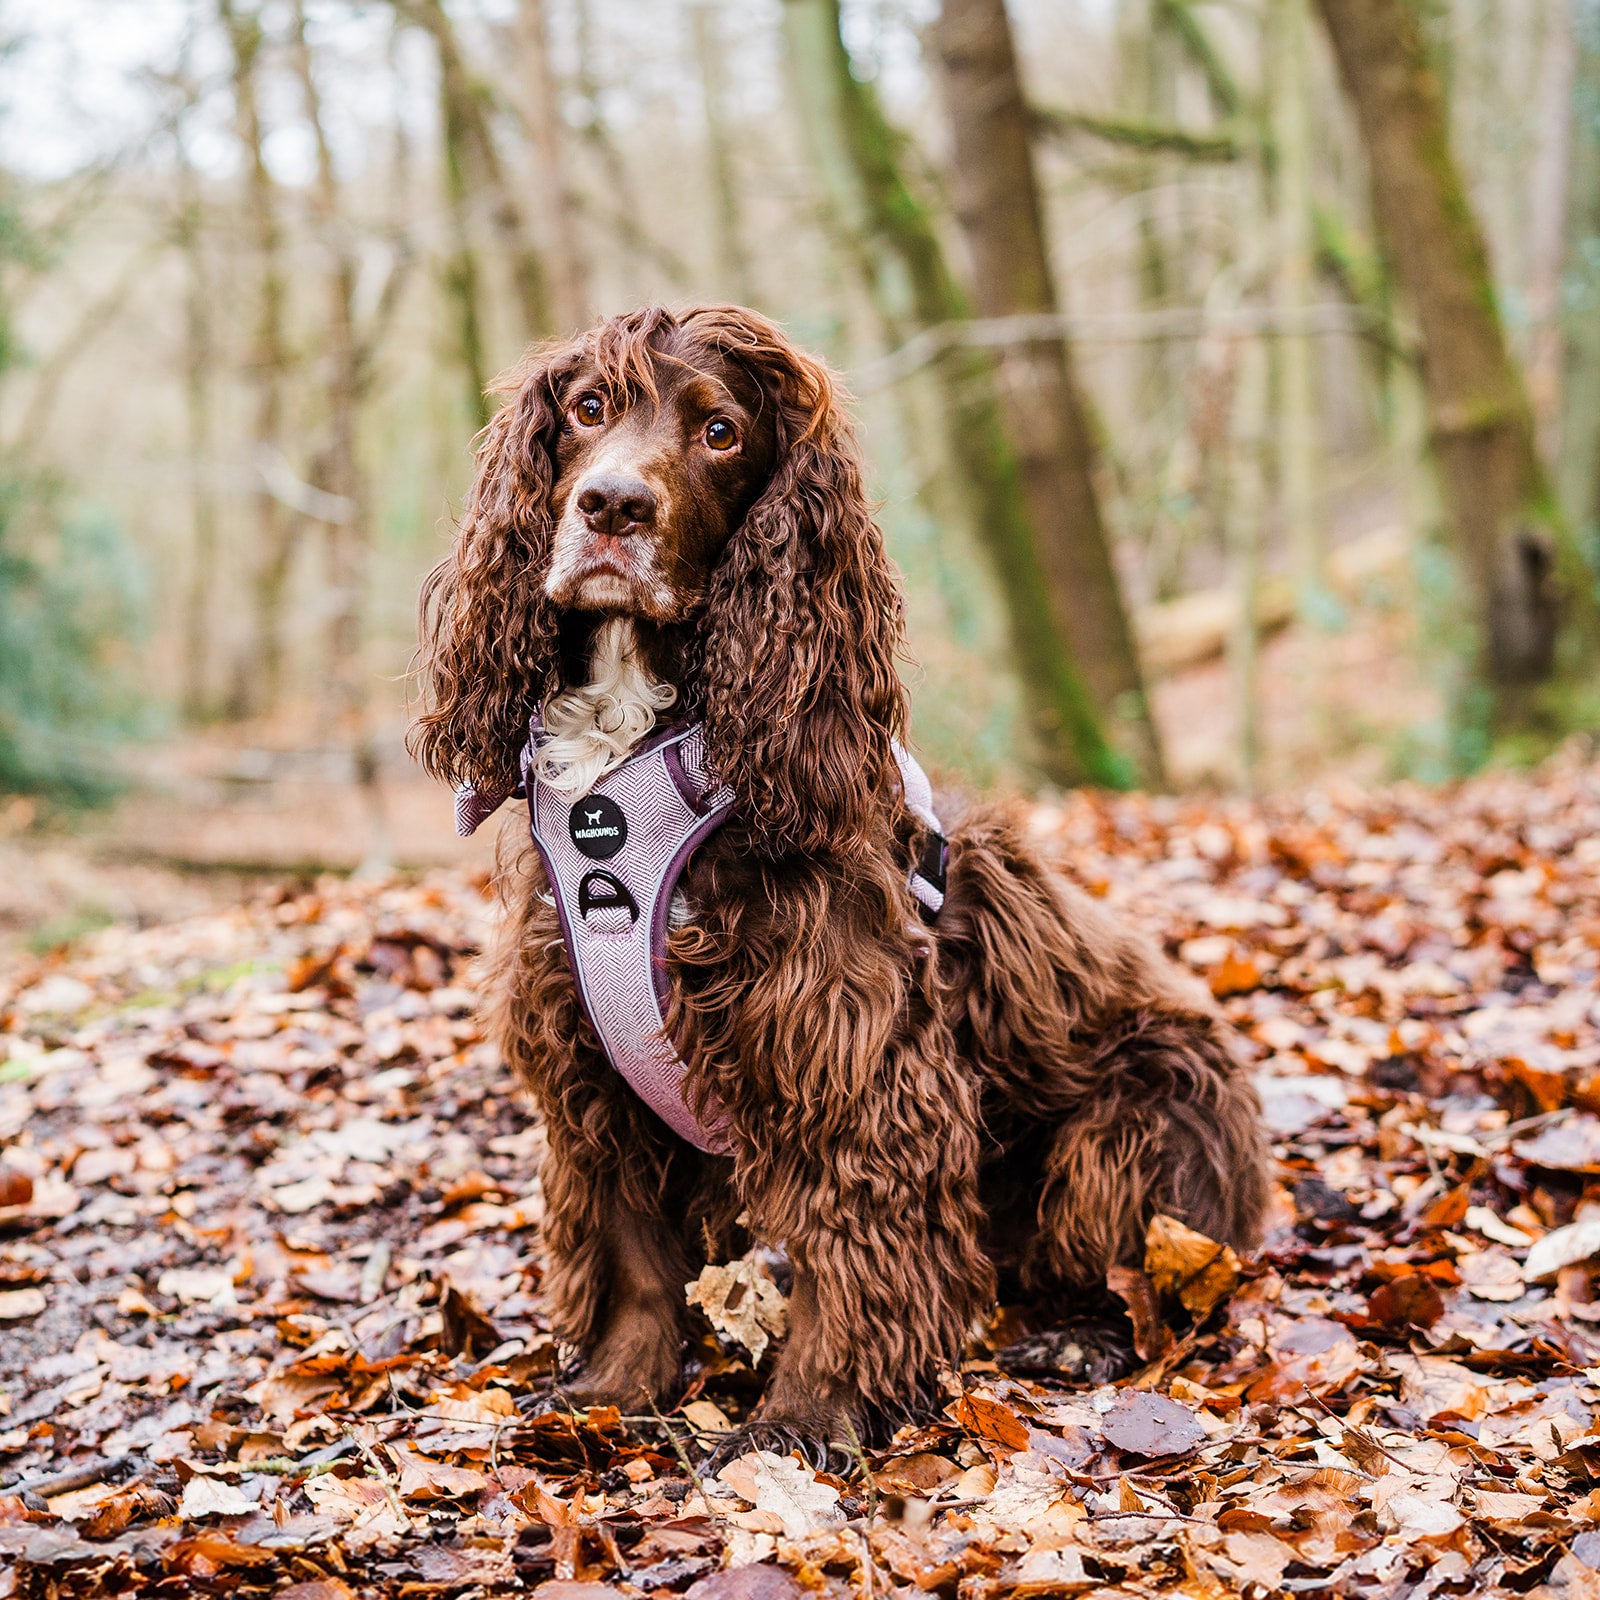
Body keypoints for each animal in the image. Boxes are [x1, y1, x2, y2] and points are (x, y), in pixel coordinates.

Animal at [412, 302, 1273, 1465]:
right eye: (589, 408)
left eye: (720, 431)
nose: (612, 505)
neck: (634, 770)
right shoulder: (589, 1065)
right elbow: (633, 1256)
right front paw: (615, 1391)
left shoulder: (851, 1057)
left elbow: (848, 1253)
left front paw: (805, 1418)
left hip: (1144, 1109)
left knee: (1144, 1265)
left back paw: (1081, 1337)